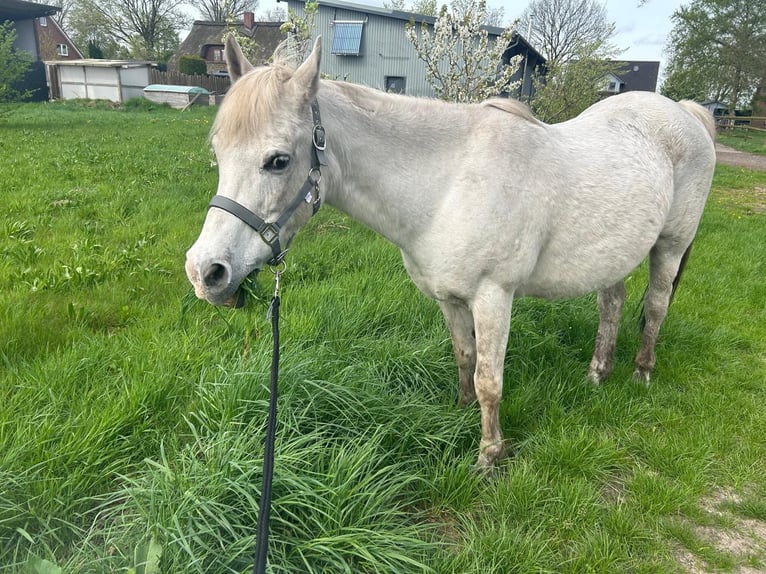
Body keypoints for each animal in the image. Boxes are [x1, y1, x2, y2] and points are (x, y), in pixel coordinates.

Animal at [186, 35, 720, 468]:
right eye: (218, 153)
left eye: (278, 160)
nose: (205, 272)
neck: (448, 183)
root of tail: (686, 114)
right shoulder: (449, 296)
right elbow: (464, 356)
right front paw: (461, 414)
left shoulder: (493, 297)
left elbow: (489, 378)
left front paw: (489, 455)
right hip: (615, 254)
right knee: (612, 304)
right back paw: (597, 374)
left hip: (669, 247)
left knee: (655, 307)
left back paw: (641, 373)